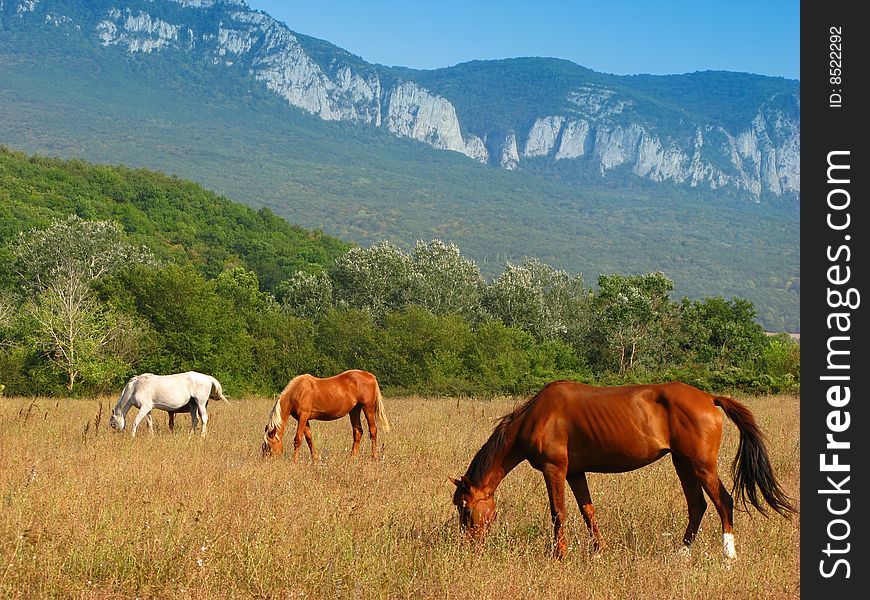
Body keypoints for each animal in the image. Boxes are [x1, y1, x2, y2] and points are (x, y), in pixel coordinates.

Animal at [262, 368, 392, 462]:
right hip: (354, 410)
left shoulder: (303, 417)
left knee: (373, 431)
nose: (266, 461)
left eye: (268, 446)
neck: (296, 392)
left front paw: (294, 461)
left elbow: (297, 439)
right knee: (358, 432)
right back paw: (352, 458)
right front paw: (315, 459)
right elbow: (309, 438)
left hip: (368, 408)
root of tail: (370, 376)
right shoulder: (304, 419)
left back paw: (373, 457)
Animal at [454, 382, 800, 560]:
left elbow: (559, 513)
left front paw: (559, 555)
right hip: (683, 464)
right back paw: (681, 556)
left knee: (722, 502)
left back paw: (728, 556)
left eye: (466, 509)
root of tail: (709, 398)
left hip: (701, 466)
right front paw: (599, 551)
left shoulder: (555, 470)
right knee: (697, 506)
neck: (537, 415)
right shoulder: (575, 473)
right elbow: (588, 510)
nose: (469, 547)